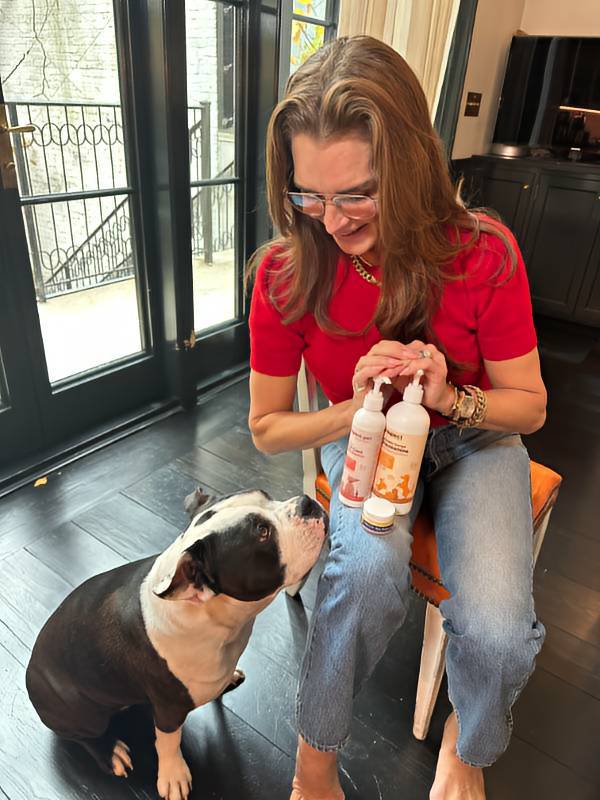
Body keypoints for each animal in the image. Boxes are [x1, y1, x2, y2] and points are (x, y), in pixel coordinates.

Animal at [26, 488, 327, 800]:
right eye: (263, 533)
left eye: (265, 495)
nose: (306, 502)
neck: (213, 615)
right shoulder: (168, 708)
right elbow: (168, 741)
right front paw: (173, 775)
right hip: (79, 709)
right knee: (84, 737)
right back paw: (110, 752)